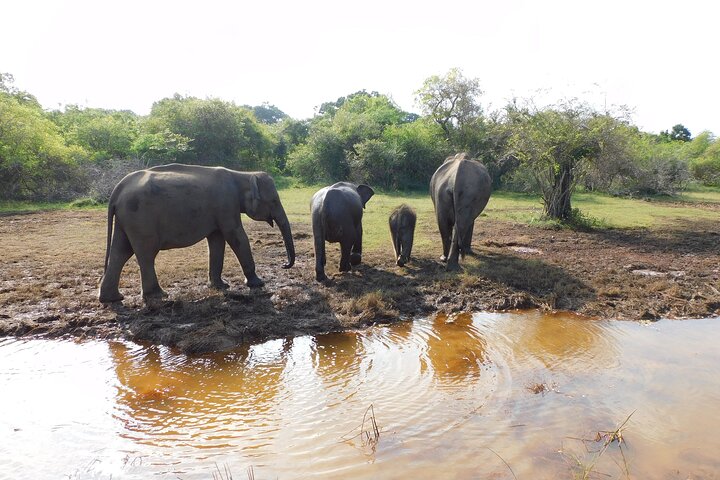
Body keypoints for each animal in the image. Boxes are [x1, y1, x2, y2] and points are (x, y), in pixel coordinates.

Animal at [98, 163, 295, 303]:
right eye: (274, 201)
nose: (284, 265)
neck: (241, 175)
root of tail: (117, 190)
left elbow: (217, 240)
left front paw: (221, 286)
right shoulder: (226, 204)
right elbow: (235, 236)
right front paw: (257, 283)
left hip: (127, 219)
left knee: (121, 252)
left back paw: (112, 299)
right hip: (140, 218)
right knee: (146, 253)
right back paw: (158, 295)